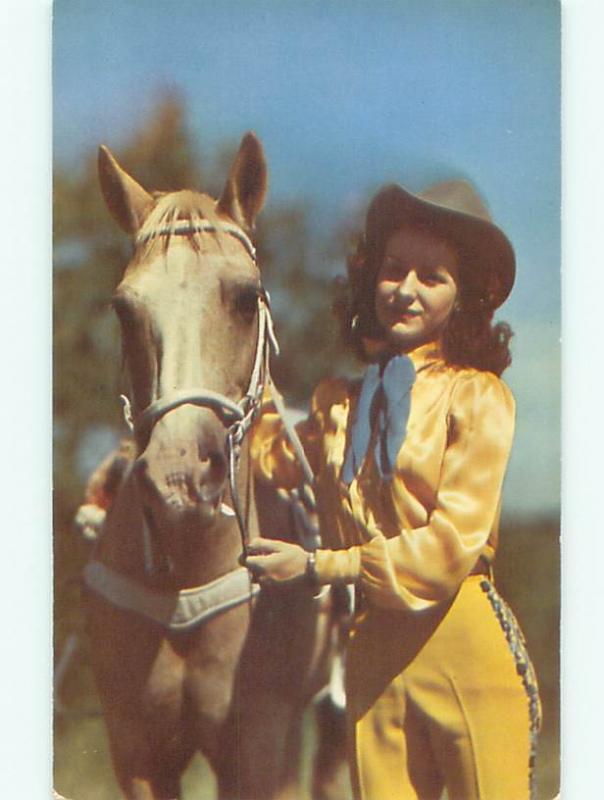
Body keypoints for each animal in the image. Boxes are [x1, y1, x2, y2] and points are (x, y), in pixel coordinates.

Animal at [84, 134, 350, 796]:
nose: (180, 478)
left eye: (246, 296)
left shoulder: (260, 742)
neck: (184, 576)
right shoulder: (136, 750)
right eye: (122, 307)